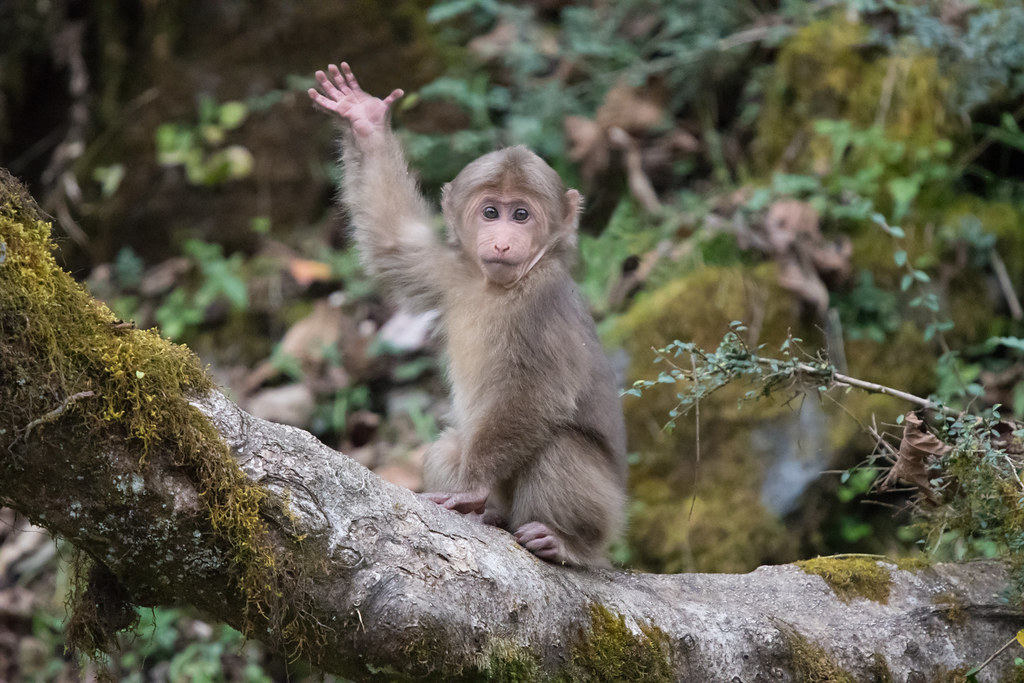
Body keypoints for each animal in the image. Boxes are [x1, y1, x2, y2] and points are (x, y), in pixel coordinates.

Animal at [305, 62, 622, 565]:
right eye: (491, 212)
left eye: (521, 215)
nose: (503, 241)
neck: (503, 286)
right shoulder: (455, 271)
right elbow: (395, 243)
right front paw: (365, 120)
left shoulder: (544, 301)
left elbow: (537, 394)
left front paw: (470, 490)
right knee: (449, 447)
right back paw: (488, 516)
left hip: (605, 511)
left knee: (560, 446)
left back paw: (565, 542)